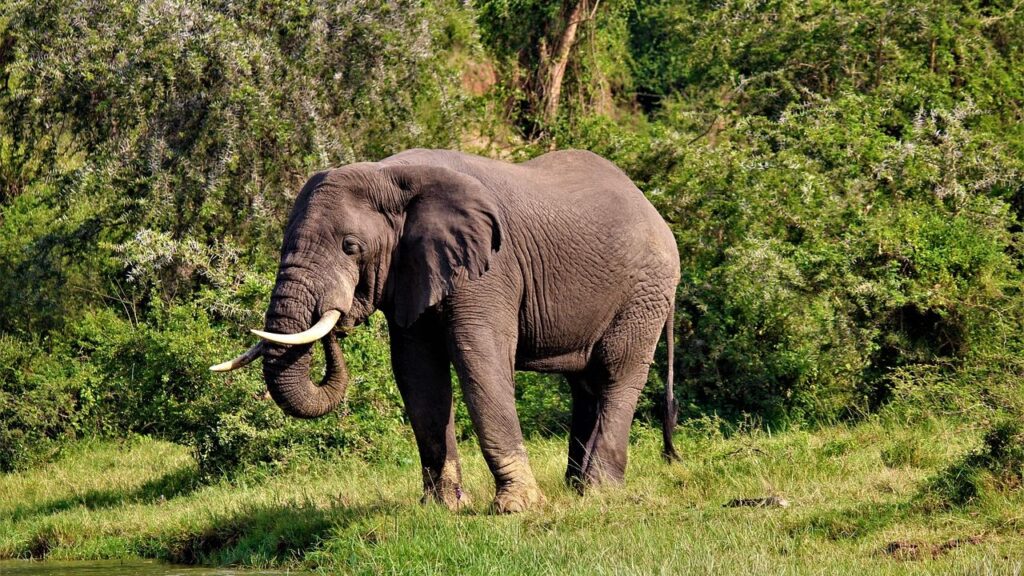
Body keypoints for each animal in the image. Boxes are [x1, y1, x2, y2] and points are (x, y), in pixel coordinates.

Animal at [212, 148, 680, 513]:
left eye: (351, 247)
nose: (336, 326)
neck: (389, 175)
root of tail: (653, 209)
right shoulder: (411, 271)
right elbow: (417, 374)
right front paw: (444, 507)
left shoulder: (491, 269)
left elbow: (480, 361)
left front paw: (517, 508)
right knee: (583, 385)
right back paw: (575, 489)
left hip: (646, 291)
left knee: (617, 375)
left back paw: (599, 493)